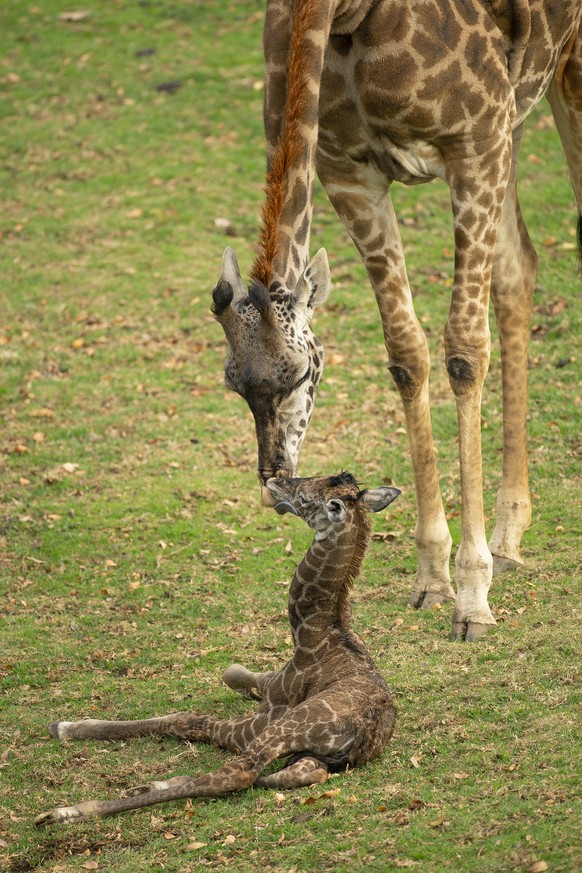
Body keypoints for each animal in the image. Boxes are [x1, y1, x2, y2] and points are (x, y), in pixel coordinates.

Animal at [35, 473, 400, 826]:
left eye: (305, 496)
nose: (275, 481)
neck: (309, 632)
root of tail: (364, 735)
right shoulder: (270, 680)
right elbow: (231, 670)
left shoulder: (265, 715)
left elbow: (185, 719)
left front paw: (64, 727)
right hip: (305, 751)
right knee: (299, 772)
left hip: (279, 728)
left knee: (236, 773)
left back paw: (68, 812)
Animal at [212, 1, 582, 642]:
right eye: (233, 381)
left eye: (298, 374)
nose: (272, 481)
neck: (344, 17)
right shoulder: (350, 171)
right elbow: (406, 353)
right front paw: (433, 577)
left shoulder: (474, 140)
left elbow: (463, 349)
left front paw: (472, 599)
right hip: (517, 116)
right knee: (519, 266)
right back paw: (510, 533)